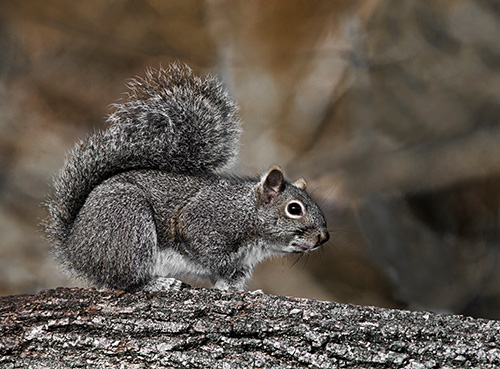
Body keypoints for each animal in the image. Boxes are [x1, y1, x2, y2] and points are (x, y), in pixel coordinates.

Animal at [45, 62, 330, 290]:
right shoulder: (206, 221)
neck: (248, 214)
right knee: (126, 280)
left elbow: (228, 283)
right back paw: (157, 283)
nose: (323, 237)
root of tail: (75, 247)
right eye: (294, 209)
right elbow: (210, 253)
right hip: (128, 225)